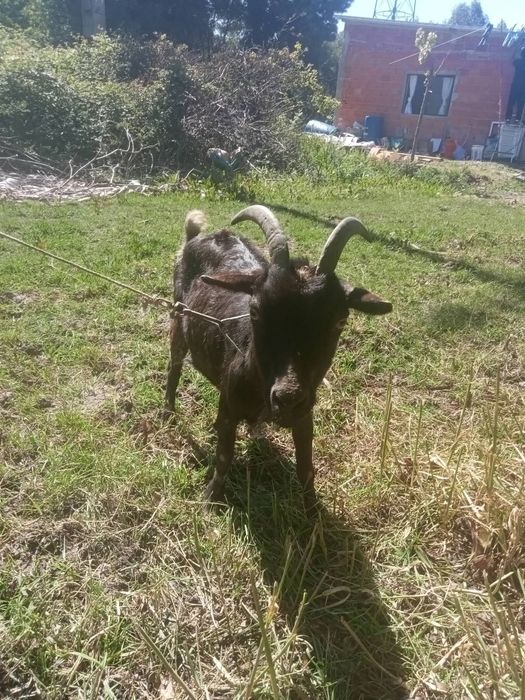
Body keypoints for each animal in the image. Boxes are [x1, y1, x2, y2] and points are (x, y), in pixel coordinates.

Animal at [165, 206, 392, 509]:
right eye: (256, 311)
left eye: (340, 321)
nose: (288, 398)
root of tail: (197, 236)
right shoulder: (230, 406)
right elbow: (224, 456)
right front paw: (211, 499)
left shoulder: (304, 415)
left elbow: (306, 467)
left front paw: (313, 512)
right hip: (178, 315)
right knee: (174, 365)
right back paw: (167, 413)